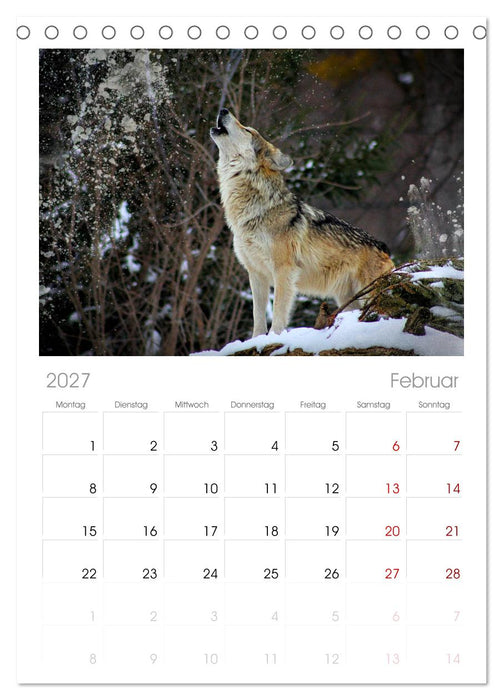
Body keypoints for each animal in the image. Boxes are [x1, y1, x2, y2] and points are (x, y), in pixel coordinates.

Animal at [210, 108, 394, 337]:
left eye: (247, 130)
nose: (223, 110)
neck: (254, 211)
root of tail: (384, 247)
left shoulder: (284, 270)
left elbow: (278, 312)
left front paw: (274, 337)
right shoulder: (256, 273)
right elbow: (257, 316)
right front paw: (257, 339)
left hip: (367, 294)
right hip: (347, 300)